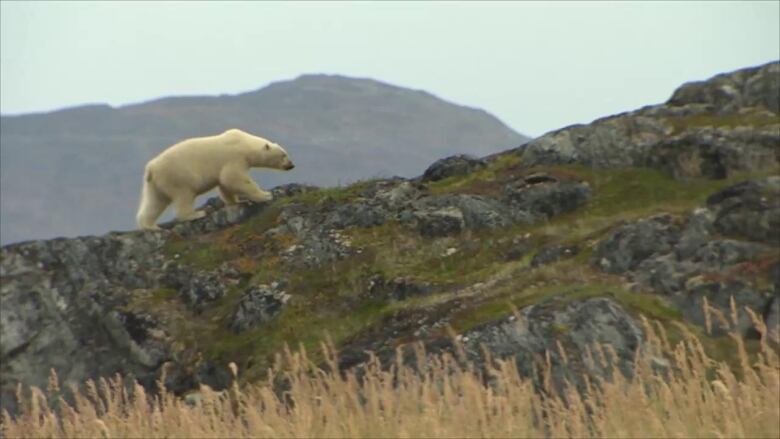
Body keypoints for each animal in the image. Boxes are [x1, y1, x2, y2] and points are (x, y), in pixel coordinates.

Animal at [136, 128, 294, 230]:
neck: (244, 144)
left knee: (155, 202)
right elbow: (232, 178)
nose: (291, 165)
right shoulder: (235, 157)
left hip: (155, 184)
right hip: (178, 175)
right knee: (184, 195)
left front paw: (237, 201)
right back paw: (195, 214)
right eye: (284, 155)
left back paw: (151, 226)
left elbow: (225, 185)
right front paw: (265, 195)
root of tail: (151, 168)